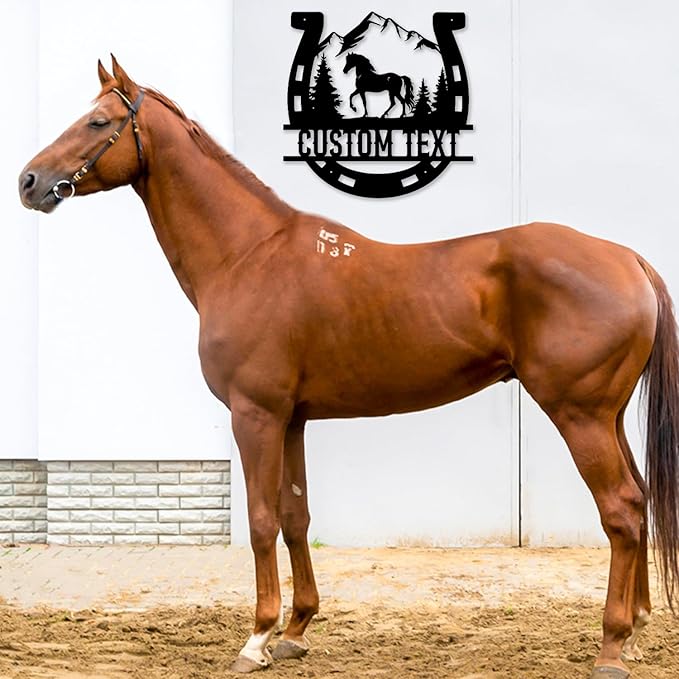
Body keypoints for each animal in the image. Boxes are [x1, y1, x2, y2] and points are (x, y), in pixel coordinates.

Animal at [18, 57, 679, 679]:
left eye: (97, 122)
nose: (29, 181)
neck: (247, 255)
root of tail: (628, 259)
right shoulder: (291, 419)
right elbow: (294, 515)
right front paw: (294, 631)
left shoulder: (254, 415)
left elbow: (260, 520)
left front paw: (256, 639)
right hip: (607, 416)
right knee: (640, 499)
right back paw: (638, 631)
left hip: (579, 414)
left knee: (621, 510)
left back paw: (612, 646)